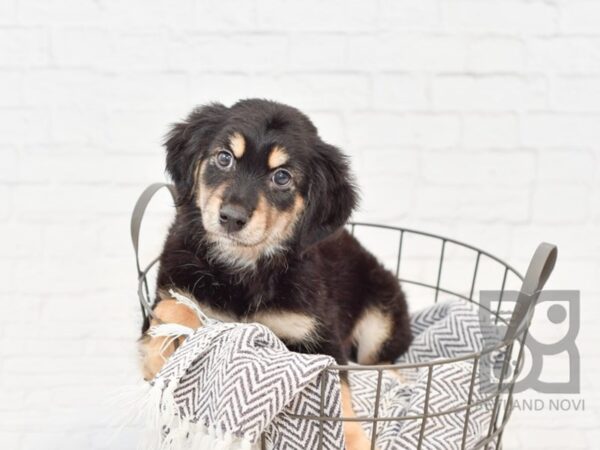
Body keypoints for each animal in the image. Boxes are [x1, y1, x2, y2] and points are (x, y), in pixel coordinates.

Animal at [139, 99, 412, 450]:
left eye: (282, 177)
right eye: (224, 158)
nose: (231, 217)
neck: (243, 267)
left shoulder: (320, 337)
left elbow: (339, 393)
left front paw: (353, 441)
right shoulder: (172, 287)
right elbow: (175, 310)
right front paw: (157, 355)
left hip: (382, 314)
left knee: (381, 359)